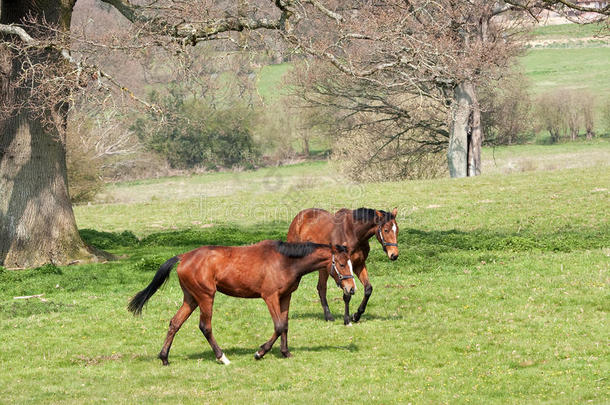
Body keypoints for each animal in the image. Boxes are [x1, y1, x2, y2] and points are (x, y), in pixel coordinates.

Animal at [128, 238, 356, 364]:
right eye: (341, 264)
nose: (351, 289)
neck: (285, 261)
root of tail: (184, 256)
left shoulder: (285, 297)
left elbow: (285, 325)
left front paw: (285, 352)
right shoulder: (270, 297)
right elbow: (278, 325)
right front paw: (260, 352)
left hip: (191, 298)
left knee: (175, 323)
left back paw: (164, 357)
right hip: (205, 297)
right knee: (205, 326)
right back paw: (222, 357)